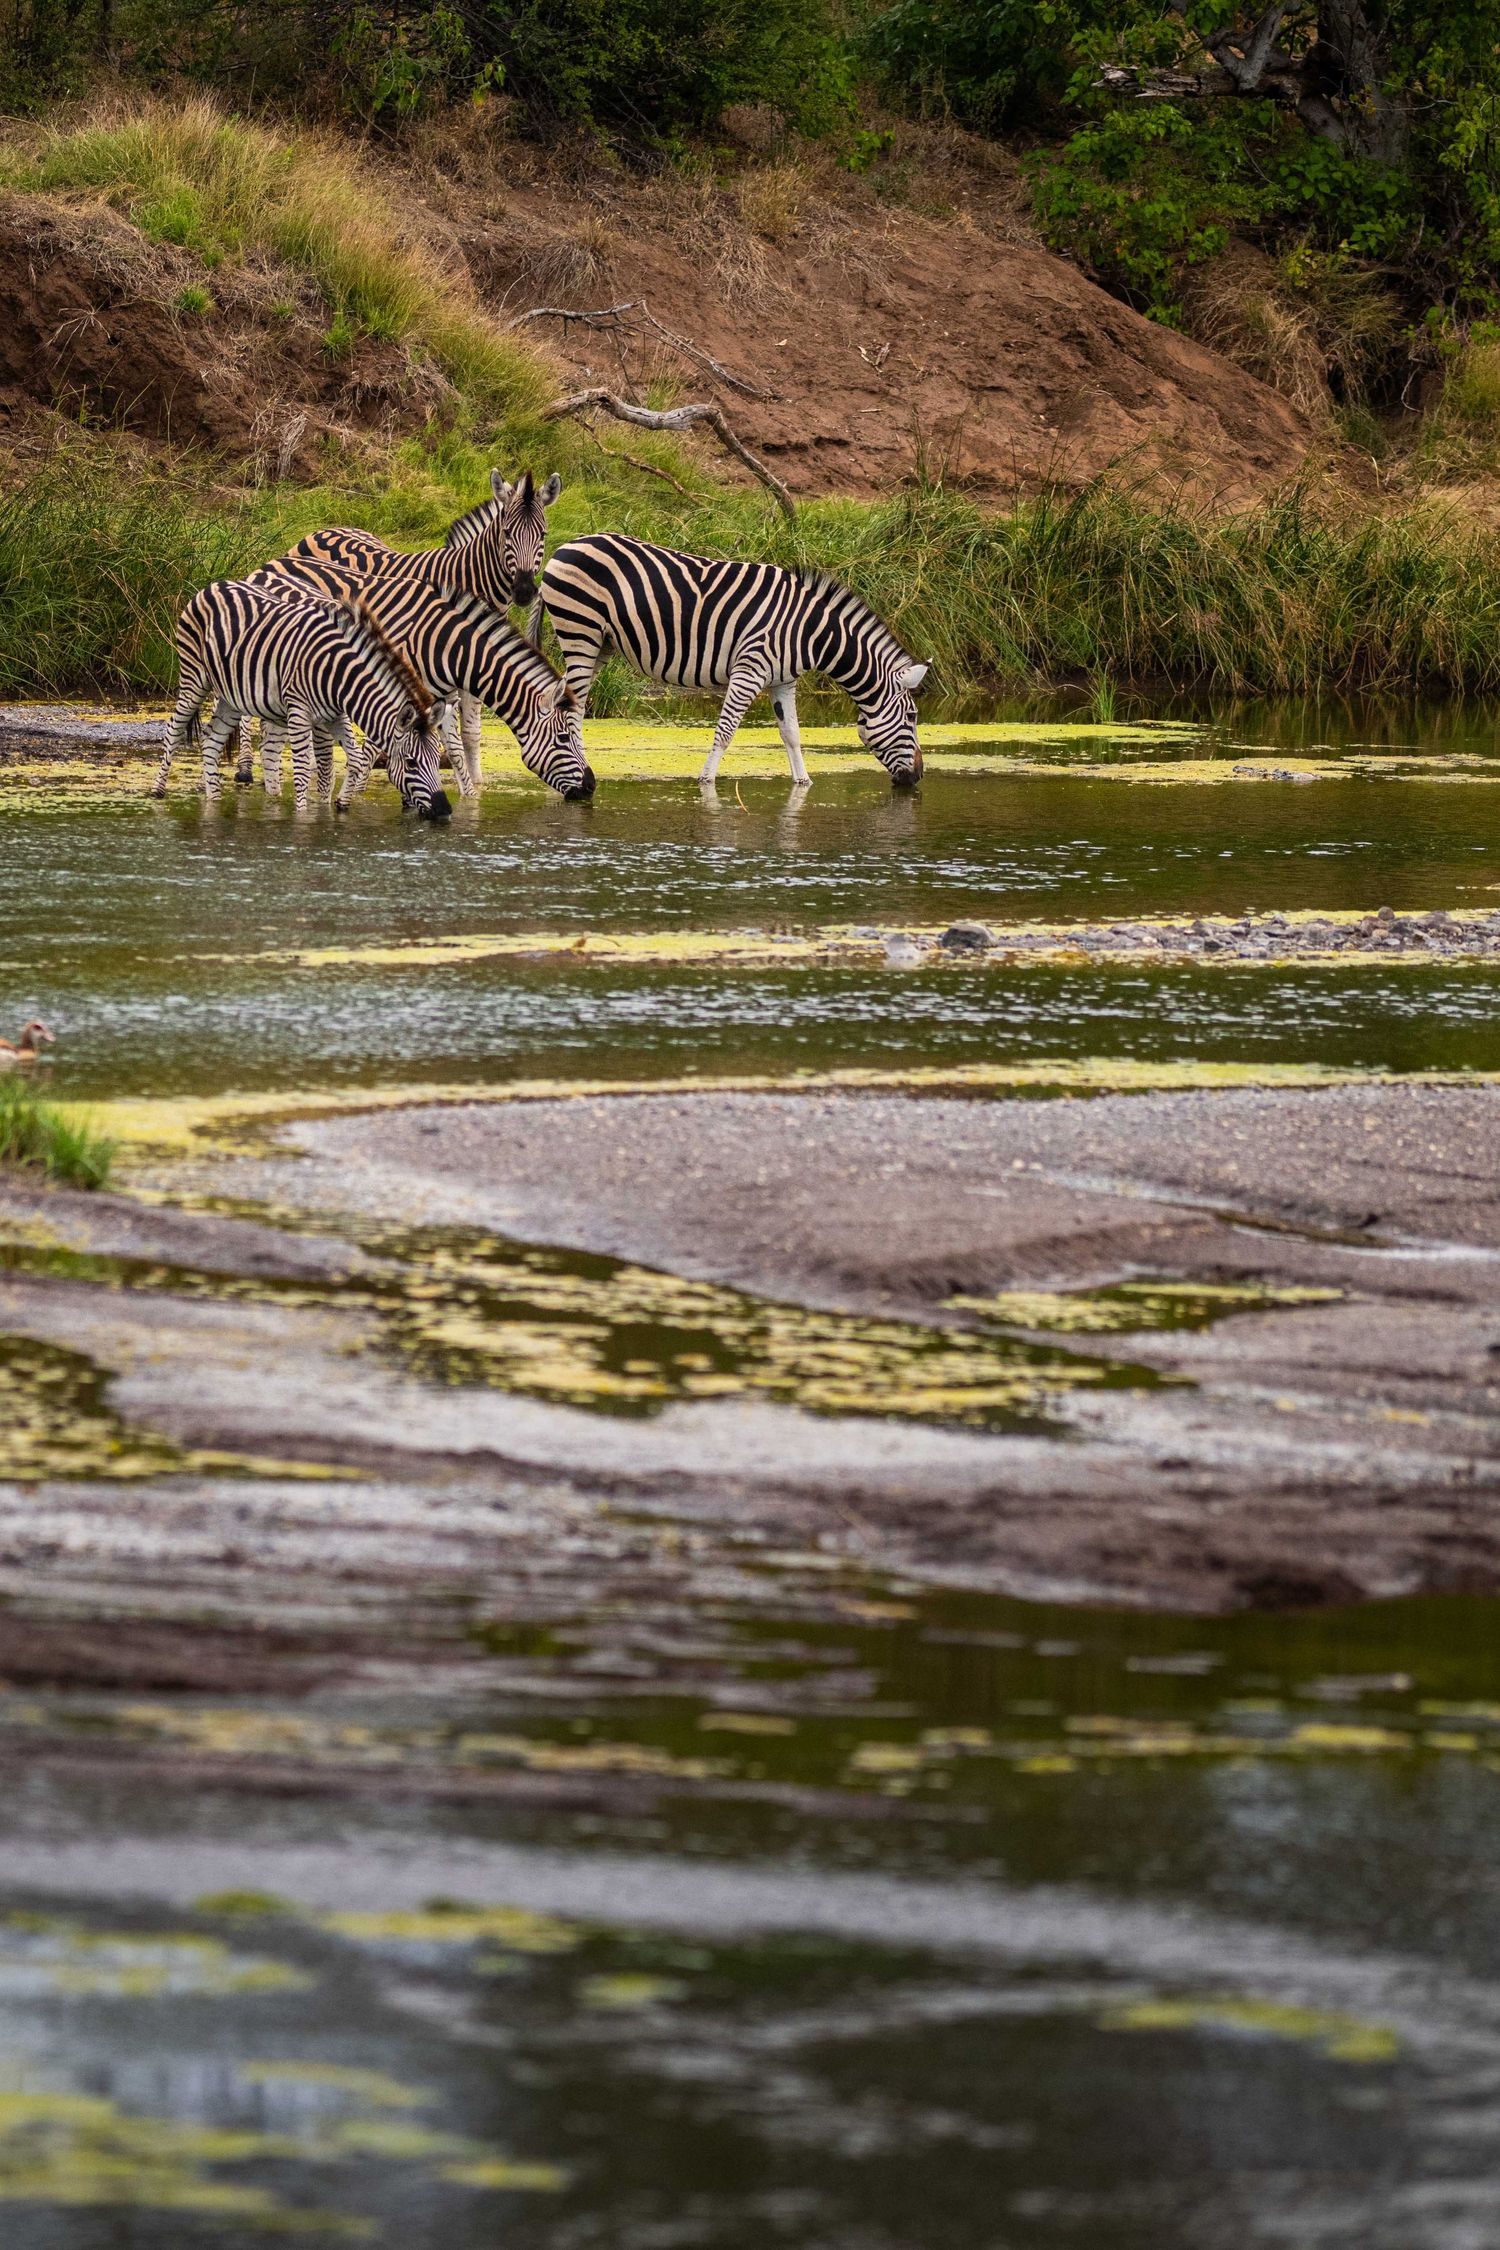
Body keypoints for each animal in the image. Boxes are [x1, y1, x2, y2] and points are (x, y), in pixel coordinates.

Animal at [152, 580, 449, 818]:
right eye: (411, 762)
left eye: (437, 759)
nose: (444, 810)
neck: (339, 674)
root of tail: (212, 586)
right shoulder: (298, 711)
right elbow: (304, 769)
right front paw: (303, 817)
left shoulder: (335, 715)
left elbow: (354, 760)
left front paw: (340, 805)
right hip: (193, 678)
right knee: (173, 730)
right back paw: (157, 792)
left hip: (231, 696)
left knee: (211, 741)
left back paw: (213, 801)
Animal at [242, 558, 591, 801]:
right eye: (564, 738)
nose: (590, 787)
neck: (449, 646)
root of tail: (266, 566)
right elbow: (374, 750)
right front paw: (349, 799)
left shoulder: (443, 698)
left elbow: (452, 750)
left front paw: (469, 800)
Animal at [243, 469, 562, 790]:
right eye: (507, 533)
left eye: (543, 535)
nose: (524, 591)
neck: (470, 578)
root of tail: (319, 531)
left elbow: (470, 733)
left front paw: (476, 785)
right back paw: (247, 769)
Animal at [530, 535, 928, 788]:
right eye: (911, 717)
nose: (919, 776)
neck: (811, 631)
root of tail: (566, 545)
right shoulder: (749, 670)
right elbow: (725, 731)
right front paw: (706, 779)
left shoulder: (783, 679)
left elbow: (791, 733)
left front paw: (803, 781)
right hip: (580, 630)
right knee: (573, 706)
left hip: (601, 644)